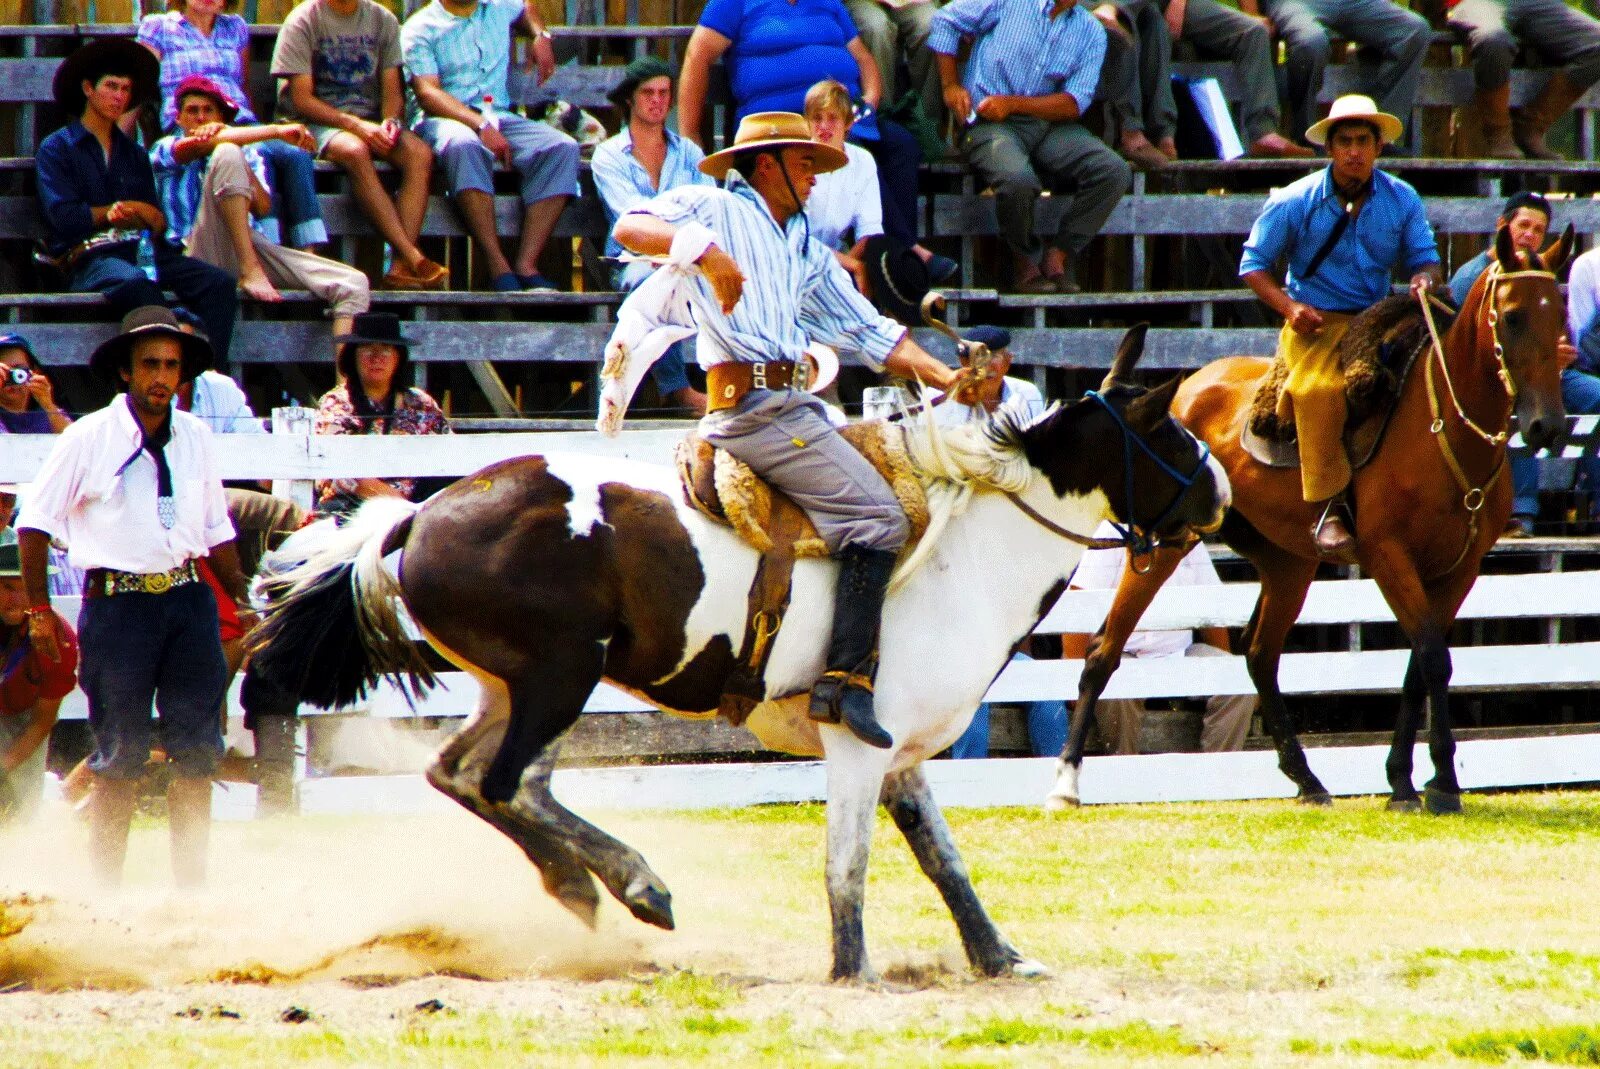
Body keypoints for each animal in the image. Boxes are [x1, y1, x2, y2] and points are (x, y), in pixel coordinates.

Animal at [249, 328, 1222, 985]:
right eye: (1171, 436)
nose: (1217, 492)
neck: (963, 551)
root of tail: (418, 515)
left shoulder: (901, 756)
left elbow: (943, 859)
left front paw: (1001, 957)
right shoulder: (858, 748)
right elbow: (847, 864)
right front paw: (853, 969)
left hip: (512, 687)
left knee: (473, 777)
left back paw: (586, 884)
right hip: (559, 679)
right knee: (506, 782)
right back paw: (632, 884)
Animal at [1049, 224, 1574, 809]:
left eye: (1560, 313)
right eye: (1512, 316)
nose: (1548, 426)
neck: (1443, 430)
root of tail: (1182, 392)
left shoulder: (1460, 569)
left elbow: (1419, 665)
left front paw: (1404, 780)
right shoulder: (1388, 557)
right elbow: (1433, 658)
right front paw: (1441, 785)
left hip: (1288, 562)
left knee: (1260, 654)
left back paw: (1308, 779)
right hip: (1168, 542)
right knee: (1103, 649)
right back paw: (1066, 782)